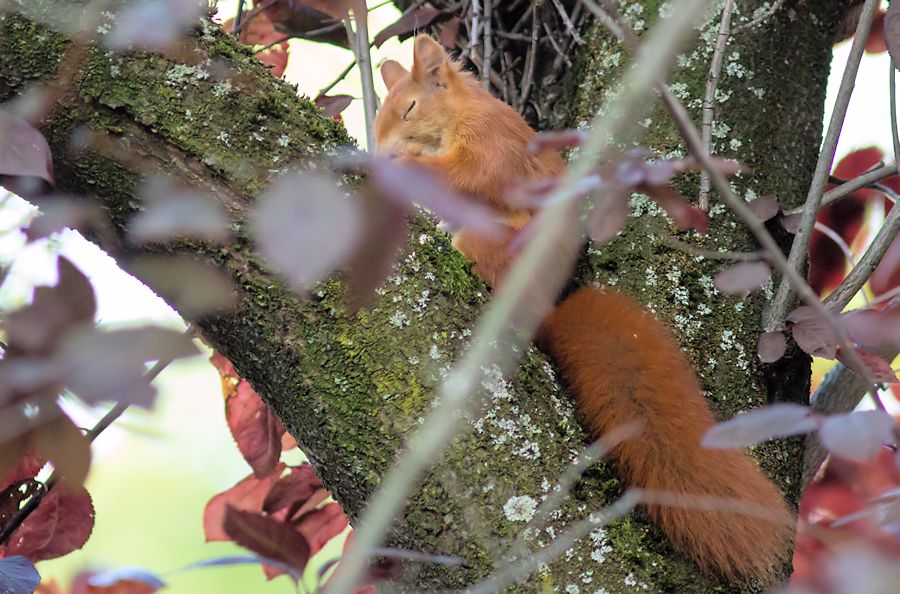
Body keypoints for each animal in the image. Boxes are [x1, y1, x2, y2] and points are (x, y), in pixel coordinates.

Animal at [372, 35, 796, 580]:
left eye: (408, 107)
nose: (381, 149)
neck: (461, 114)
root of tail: (545, 306)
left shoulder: (493, 145)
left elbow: (470, 176)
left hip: (495, 246)